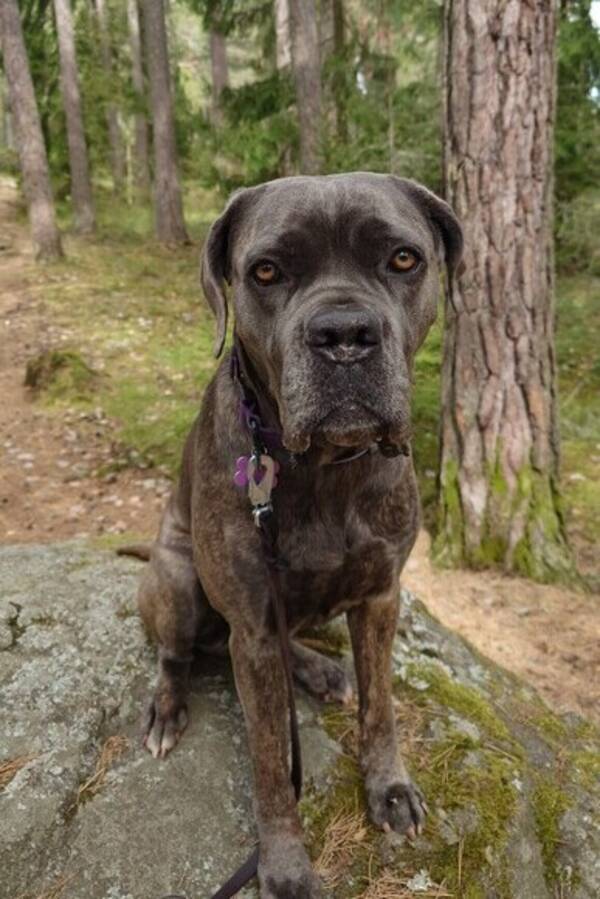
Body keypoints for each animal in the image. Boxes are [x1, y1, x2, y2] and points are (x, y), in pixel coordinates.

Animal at [137, 172, 464, 896]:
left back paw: (318, 668)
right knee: (176, 655)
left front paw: (388, 785)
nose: (344, 333)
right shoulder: (253, 625)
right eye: (266, 271)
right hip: (176, 577)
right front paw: (284, 863)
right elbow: (269, 762)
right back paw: (168, 710)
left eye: (404, 258)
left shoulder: (380, 597)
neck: (326, 468)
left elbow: (380, 705)